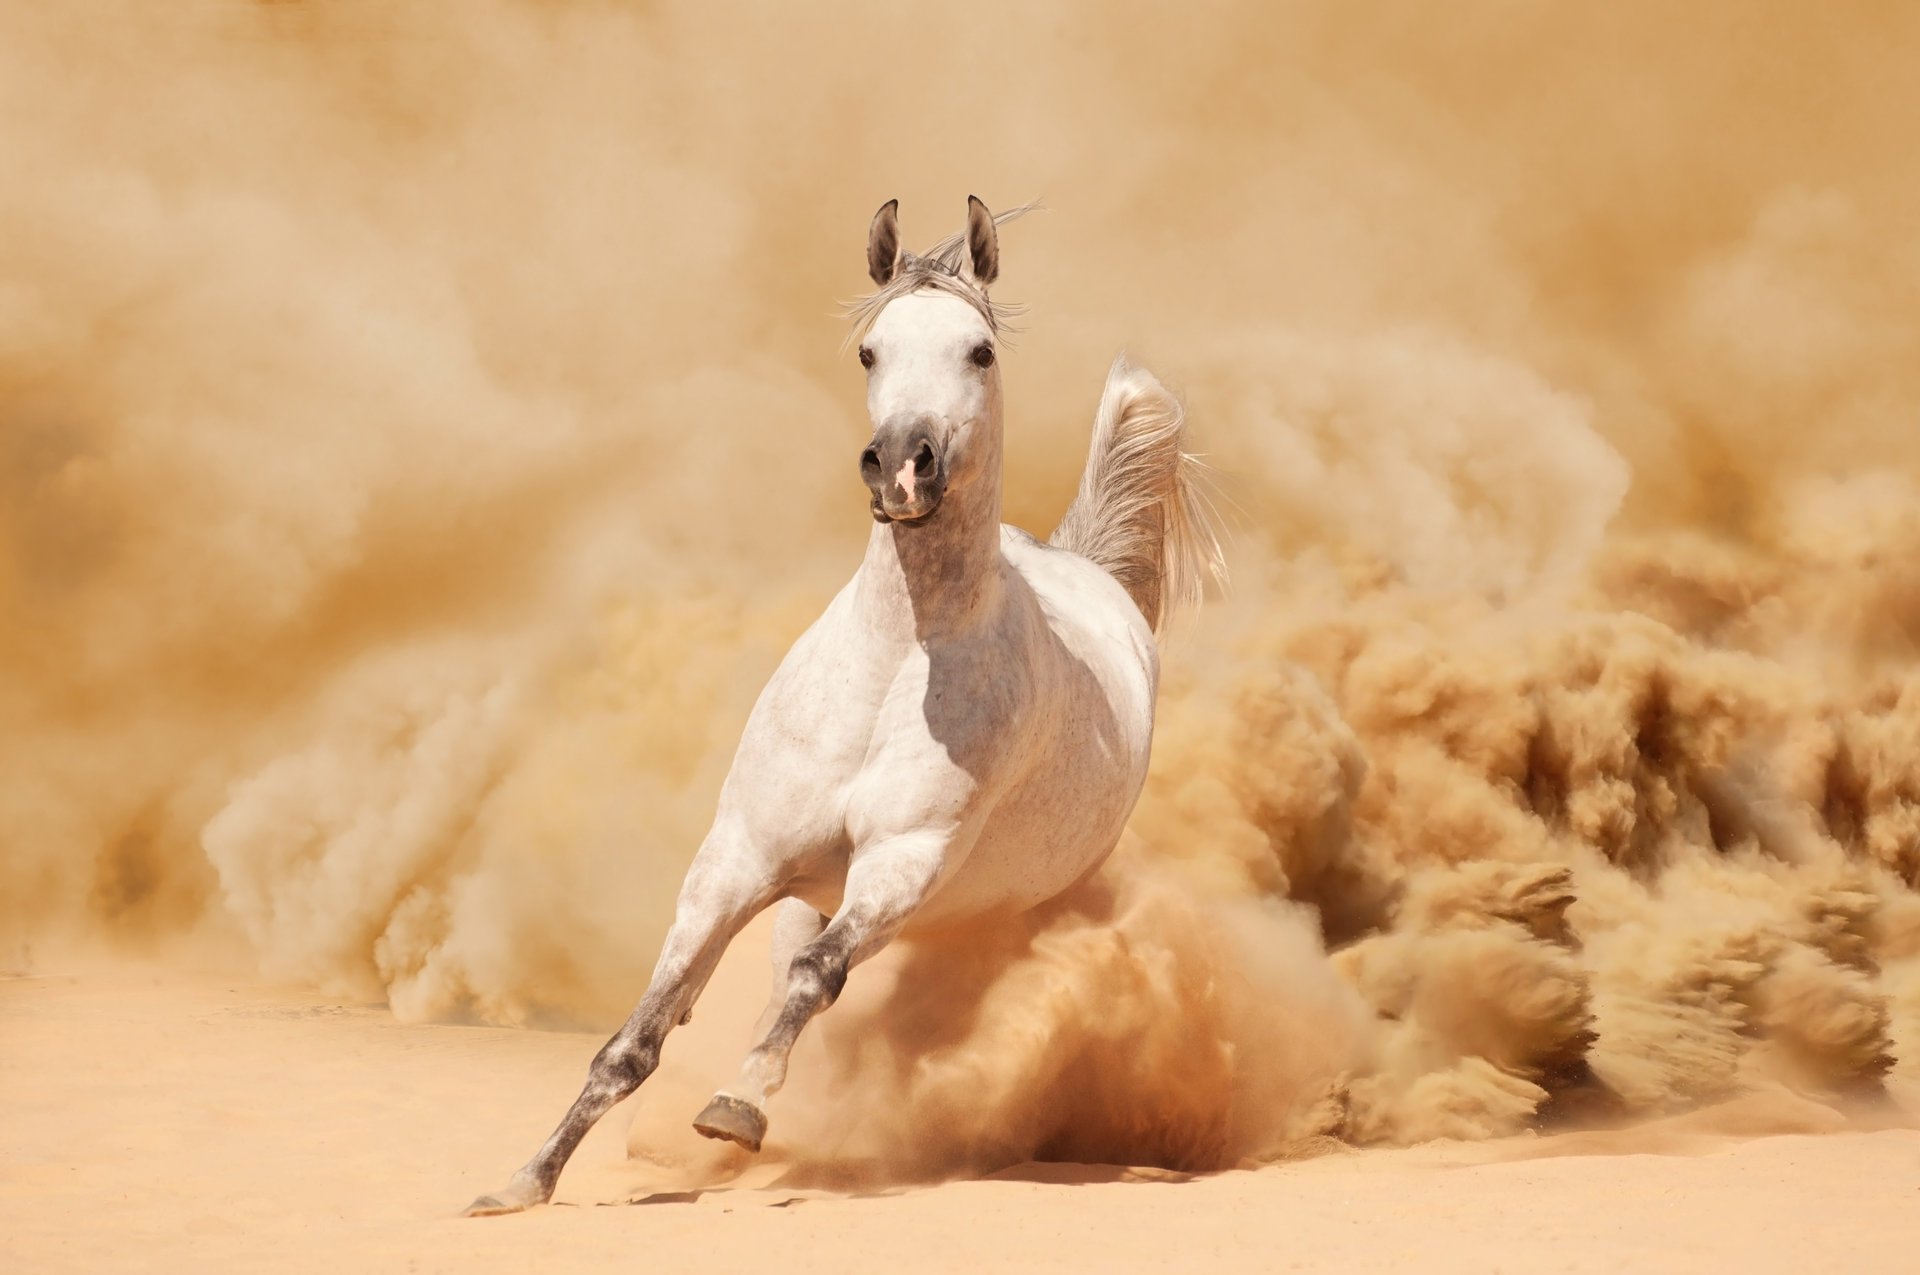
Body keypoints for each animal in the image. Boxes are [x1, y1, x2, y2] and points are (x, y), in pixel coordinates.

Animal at [465, 196, 1222, 1215]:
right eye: (870, 350)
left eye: (980, 350)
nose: (902, 464)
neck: (895, 669)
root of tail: (1090, 570)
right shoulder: (737, 859)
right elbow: (640, 1035)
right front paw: (523, 1182)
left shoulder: (901, 862)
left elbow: (817, 977)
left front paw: (736, 1105)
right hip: (806, 888)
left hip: (998, 904)